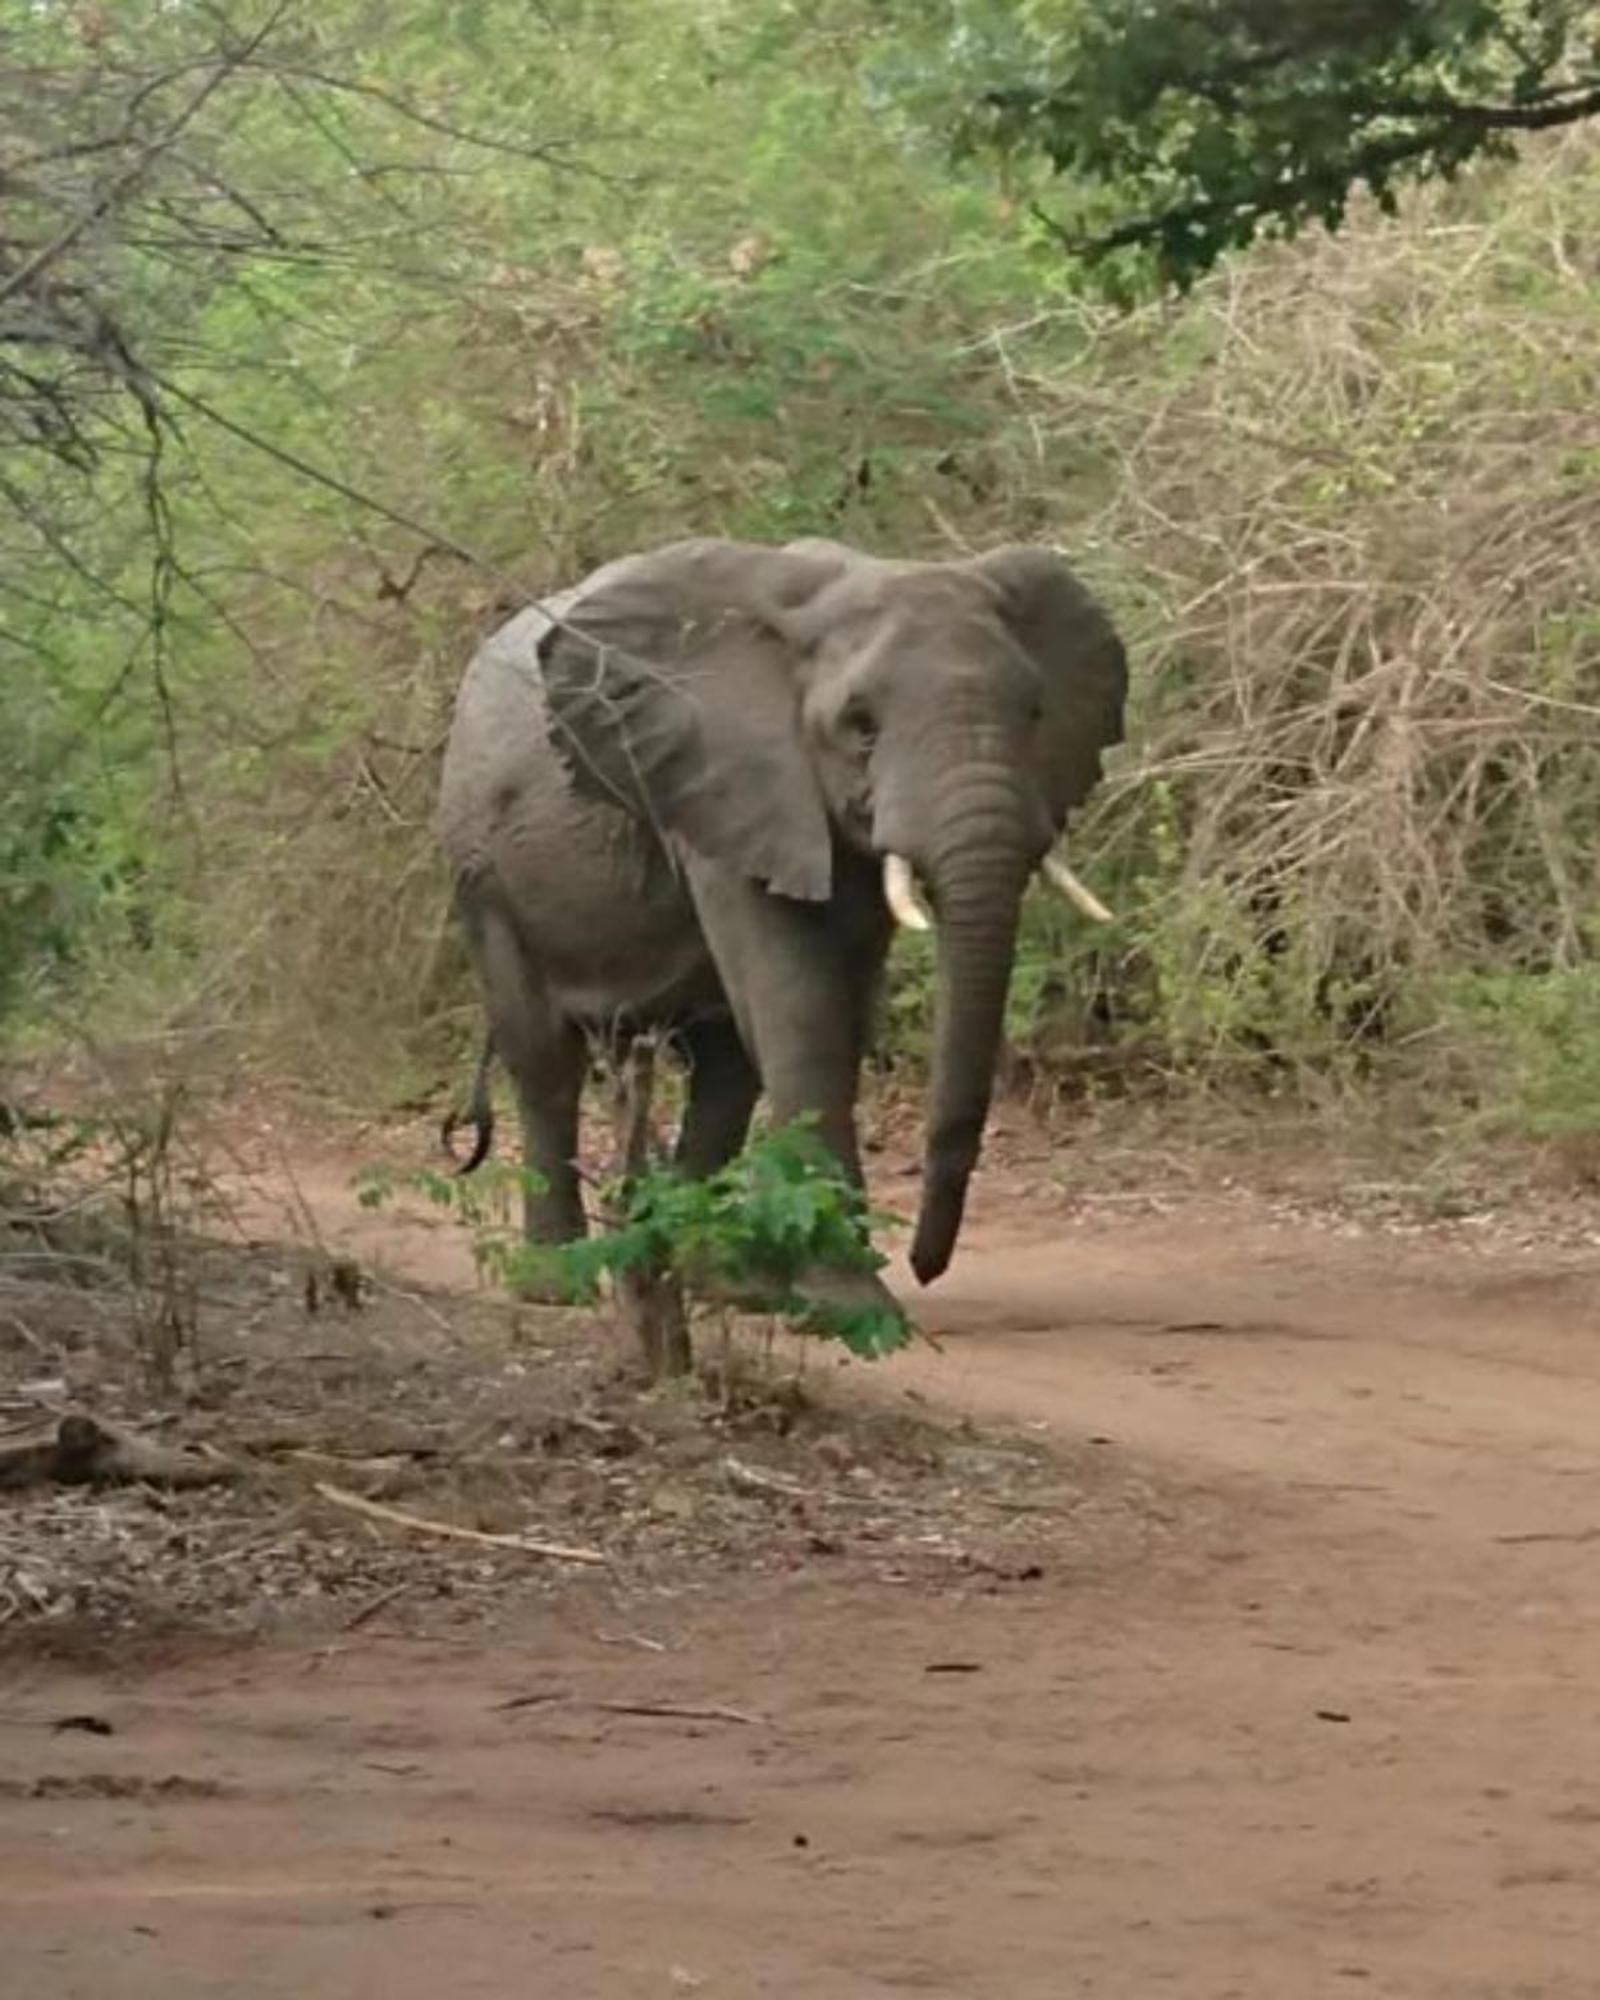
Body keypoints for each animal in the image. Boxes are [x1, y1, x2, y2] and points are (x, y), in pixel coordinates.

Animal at [432, 540, 1120, 1296]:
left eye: (1035, 713)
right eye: (860, 726)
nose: (923, 1265)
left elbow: (834, 1015)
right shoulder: (726, 781)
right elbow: (800, 1005)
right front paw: (850, 1299)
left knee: (724, 1069)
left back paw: (712, 1282)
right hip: (481, 866)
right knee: (544, 1060)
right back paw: (558, 1286)